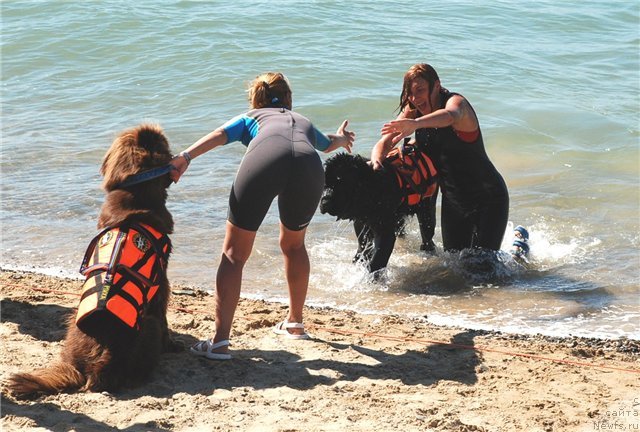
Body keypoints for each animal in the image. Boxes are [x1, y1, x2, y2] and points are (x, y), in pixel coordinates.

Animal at [6, 122, 182, 398]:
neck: (136, 194)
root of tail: (93, 368)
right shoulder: (161, 283)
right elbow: (164, 316)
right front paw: (172, 345)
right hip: (148, 326)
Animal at [320, 145, 440, 274]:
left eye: (340, 181)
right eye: (324, 184)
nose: (325, 201)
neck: (370, 187)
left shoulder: (384, 230)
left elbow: (377, 259)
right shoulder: (361, 222)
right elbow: (363, 245)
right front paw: (359, 261)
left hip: (426, 208)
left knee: (427, 234)